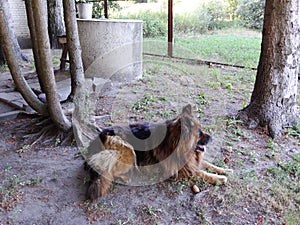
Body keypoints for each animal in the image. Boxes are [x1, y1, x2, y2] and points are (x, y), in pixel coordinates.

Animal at [85, 104, 233, 200]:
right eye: (199, 133)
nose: (212, 138)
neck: (175, 145)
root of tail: (96, 140)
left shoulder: (191, 162)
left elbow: (208, 164)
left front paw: (225, 170)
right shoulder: (181, 170)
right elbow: (201, 172)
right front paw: (219, 178)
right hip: (128, 151)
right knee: (109, 171)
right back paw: (125, 177)